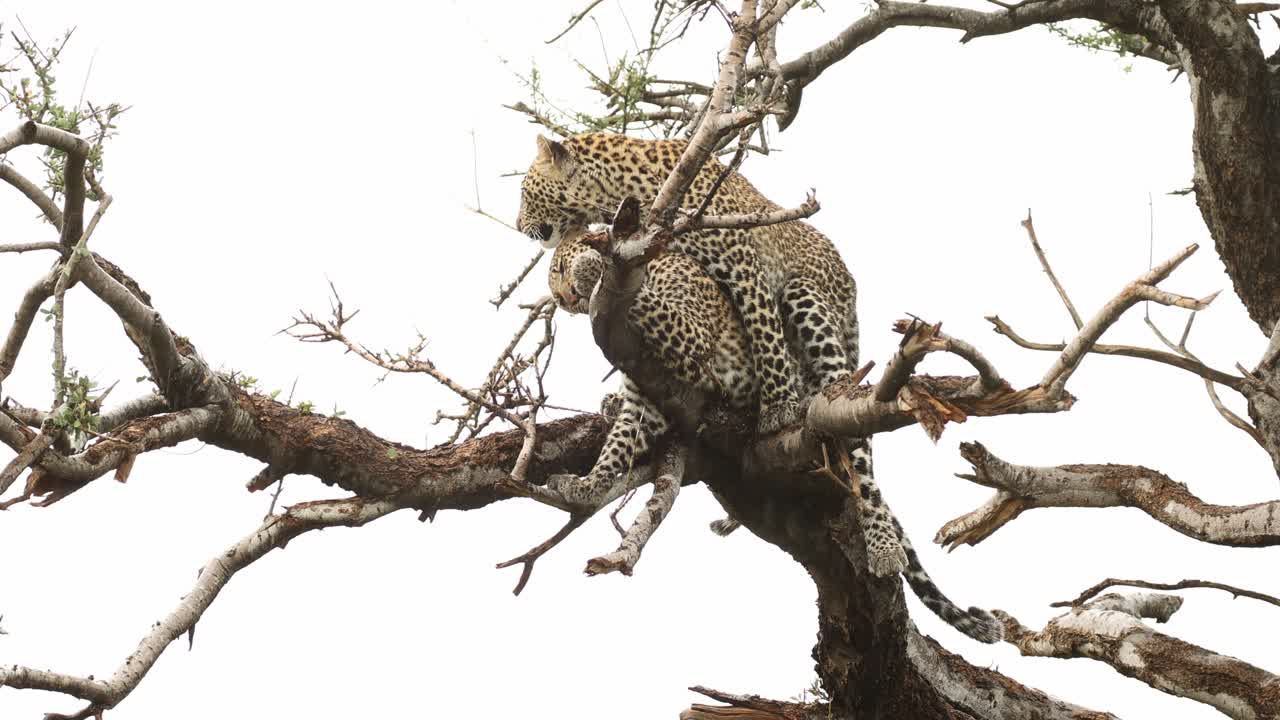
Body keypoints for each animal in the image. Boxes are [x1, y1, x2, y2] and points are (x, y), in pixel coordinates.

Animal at [518, 132, 859, 437]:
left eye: (524, 192)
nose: (519, 226)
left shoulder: (743, 267)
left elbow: (764, 334)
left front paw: (777, 404)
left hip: (802, 294)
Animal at [546, 231, 1002, 645]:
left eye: (556, 271)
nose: (563, 299)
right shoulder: (645, 400)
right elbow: (618, 445)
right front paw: (589, 485)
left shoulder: (690, 337)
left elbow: (653, 306)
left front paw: (591, 271)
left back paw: (881, 543)